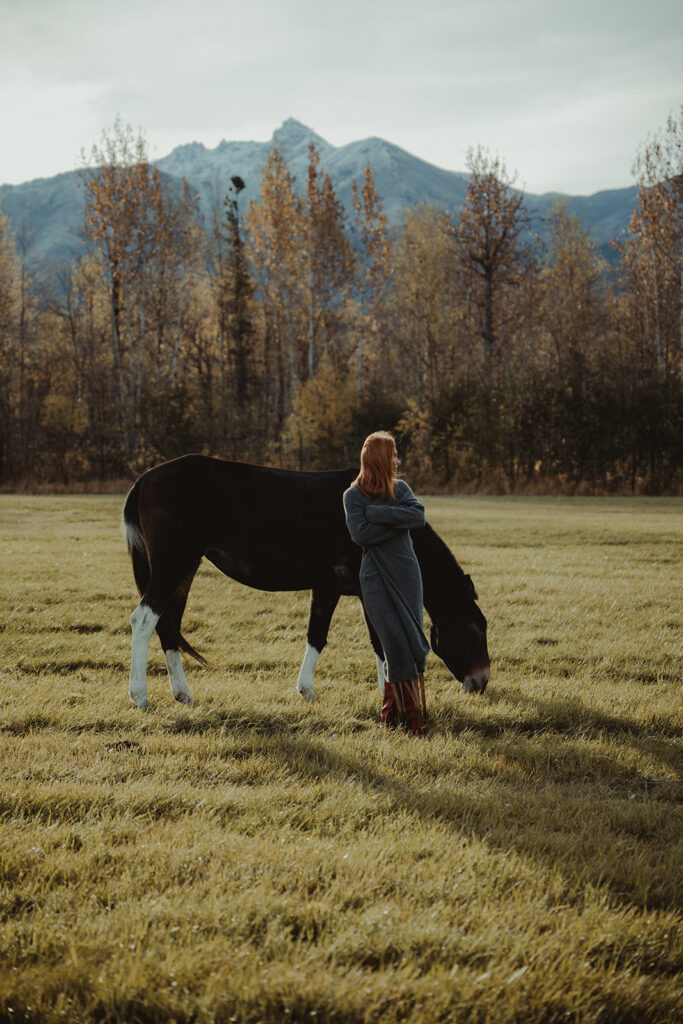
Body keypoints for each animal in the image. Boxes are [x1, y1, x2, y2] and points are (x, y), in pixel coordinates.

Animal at [121, 458, 485, 712]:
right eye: (476, 629)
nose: (481, 681)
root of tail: (144, 479)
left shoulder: (327, 587)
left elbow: (317, 635)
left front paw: (306, 689)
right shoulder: (365, 589)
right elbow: (379, 641)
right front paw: (389, 698)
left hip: (183, 572)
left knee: (168, 626)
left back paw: (182, 694)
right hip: (173, 565)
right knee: (145, 619)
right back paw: (140, 696)